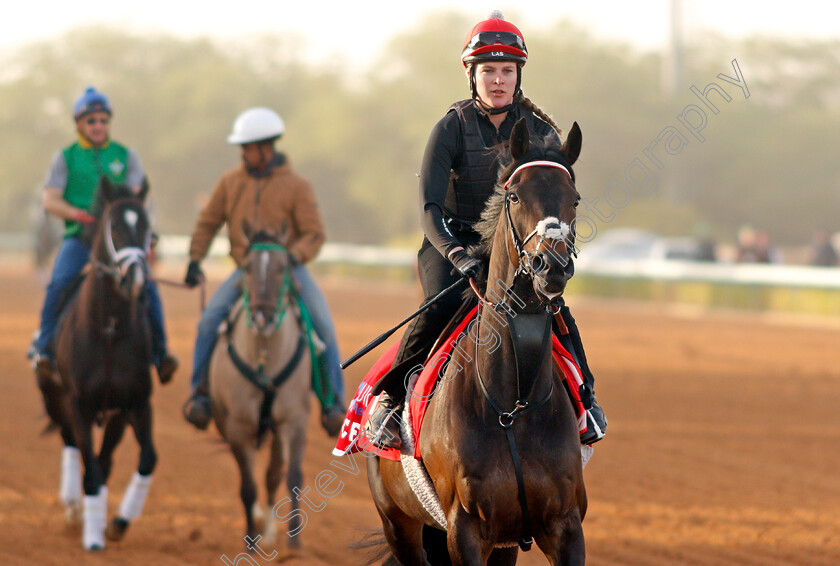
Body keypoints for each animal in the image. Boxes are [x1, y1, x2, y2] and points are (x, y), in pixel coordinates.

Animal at [37, 178, 161, 552]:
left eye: (147, 228)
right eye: (115, 226)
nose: (136, 280)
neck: (108, 329)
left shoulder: (135, 403)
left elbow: (146, 459)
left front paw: (118, 523)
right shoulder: (80, 404)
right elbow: (89, 468)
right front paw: (92, 538)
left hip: (115, 416)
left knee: (104, 460)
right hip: (55, 400)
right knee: (71, 444)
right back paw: (74, 508)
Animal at [208, 226, 314, 552]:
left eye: (283, 268)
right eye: (246, 267)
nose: (262, 318)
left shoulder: (294, 420)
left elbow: (293, 475)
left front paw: (294, 541)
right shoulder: (238, 427)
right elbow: (247, 486)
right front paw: (250, 541)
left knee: (273, 474)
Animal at [364, 117, 588, 564]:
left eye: (574, 199)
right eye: (515, 196)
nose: (551, 265)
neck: (513, 403)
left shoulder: (564, 525)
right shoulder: (465, 529)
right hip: (399, 524)